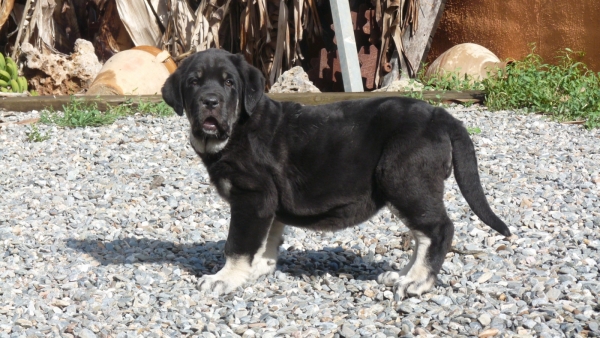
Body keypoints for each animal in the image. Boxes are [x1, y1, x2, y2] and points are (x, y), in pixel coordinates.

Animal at [162, 48, 508, 298]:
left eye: (229, 83)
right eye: (193, 82)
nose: (210, 101)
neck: (235, 132)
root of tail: (439, 114)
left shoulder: (252, 197)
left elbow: (237, 243)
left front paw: (225, 279)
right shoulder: (267, 201)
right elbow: (268, 236)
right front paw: (260, 267)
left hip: (405, 181)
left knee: (438, 230)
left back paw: (416, 283)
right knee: (421, 233)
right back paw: (402, 275)